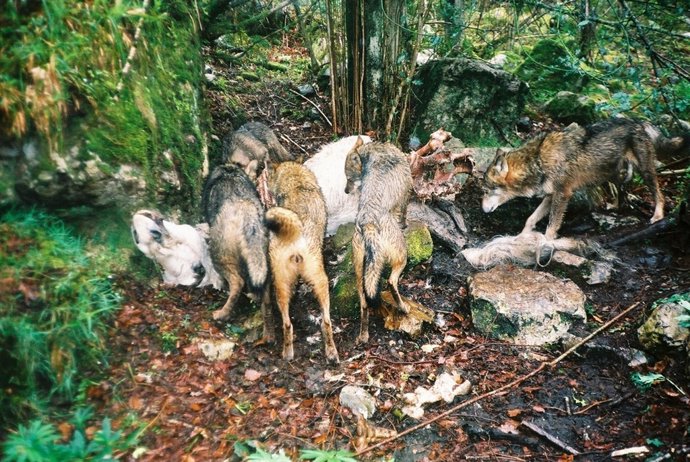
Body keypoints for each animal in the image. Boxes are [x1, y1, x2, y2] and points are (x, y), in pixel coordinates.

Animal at [202, 165, 273, 338]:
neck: (230, 171)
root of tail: (247, 215)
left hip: (219, 257)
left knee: (237, 284)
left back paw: (221, 314)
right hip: (263, 262)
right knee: (264, 295)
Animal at [264, 161, 339, 363]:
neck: (297, 182)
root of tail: (295, 240)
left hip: (286, 284)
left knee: (291, 324)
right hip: (313, 282)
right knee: (323, 322)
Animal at [346, 139, 413, 344]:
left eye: (348, 178)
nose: (345, 191)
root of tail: (367, 223)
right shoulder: (406, 197)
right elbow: (404, 215)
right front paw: (405, 224)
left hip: (361, 273)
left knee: (364, 303)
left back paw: (363, 336)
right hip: (402, 256)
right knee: (391, 282)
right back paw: (403, 307)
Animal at [482, 118, 689, 240]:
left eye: (486, 190)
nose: (482, 210)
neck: (538, 160)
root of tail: (639, 121)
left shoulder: (563, 194)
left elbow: (551, 226)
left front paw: (545, 244)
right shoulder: (551, 195)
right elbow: (530, 219)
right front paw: (521, 237)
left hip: (645, 172)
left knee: (658, 194)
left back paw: (657, 216)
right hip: (612, 173)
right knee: (622, 191)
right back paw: (615, 206)